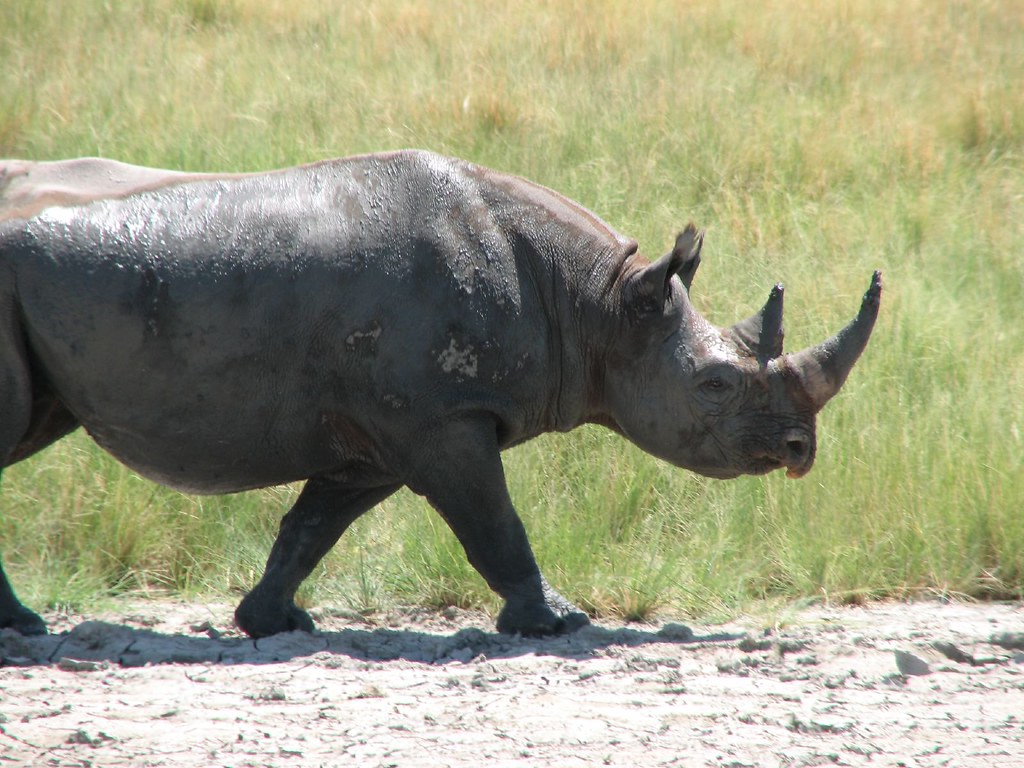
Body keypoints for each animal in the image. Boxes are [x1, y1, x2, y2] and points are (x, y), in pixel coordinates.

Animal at [0, 150, 881, 638]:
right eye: (715, 385)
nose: (800, 451)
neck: (595, 302)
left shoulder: (388, 429)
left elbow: (314, 524)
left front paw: (272, 621)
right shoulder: (444, 419)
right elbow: (494, 521)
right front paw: (558, 622)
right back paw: (27, 628)